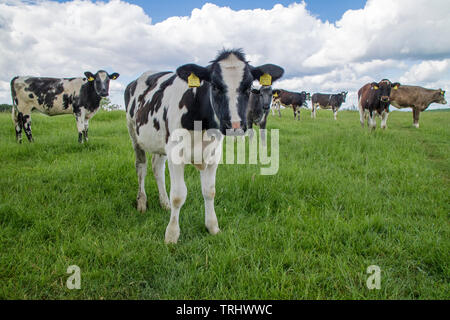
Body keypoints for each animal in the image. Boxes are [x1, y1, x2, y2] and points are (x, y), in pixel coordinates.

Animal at [125, 48, 284, 242]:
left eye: (248, 88)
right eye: (214, 86)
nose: (235, 126)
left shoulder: (213, 155)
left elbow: (209, 191)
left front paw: (212, 227)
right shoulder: (175, 153)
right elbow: (178, 195)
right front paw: (171, 235)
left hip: (160, 143)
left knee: (157, 168)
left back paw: (164, 203)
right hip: (134, 133)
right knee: (141, 167)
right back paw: (141, 202)